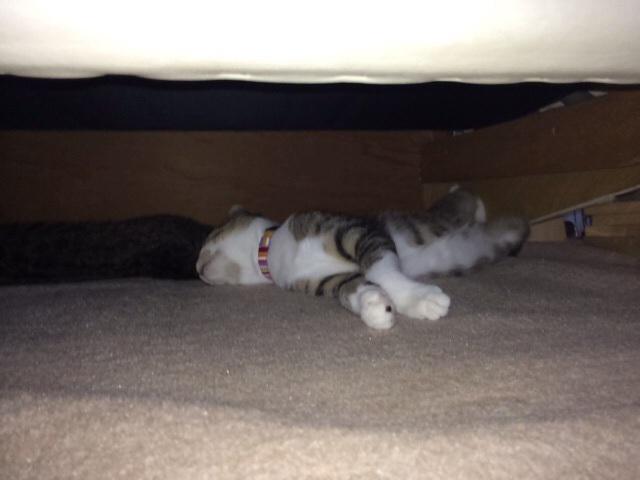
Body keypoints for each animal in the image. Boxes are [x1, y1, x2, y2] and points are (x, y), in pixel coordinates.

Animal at [197, 189, 529, 330]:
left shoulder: (359, 232)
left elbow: (381, 270)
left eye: (211, 235)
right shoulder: (327, 280)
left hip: (444, 215)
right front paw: (374, 307)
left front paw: (418, 299)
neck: (275, 250)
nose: (196, 269)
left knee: (463, 199)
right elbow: (352, 288)